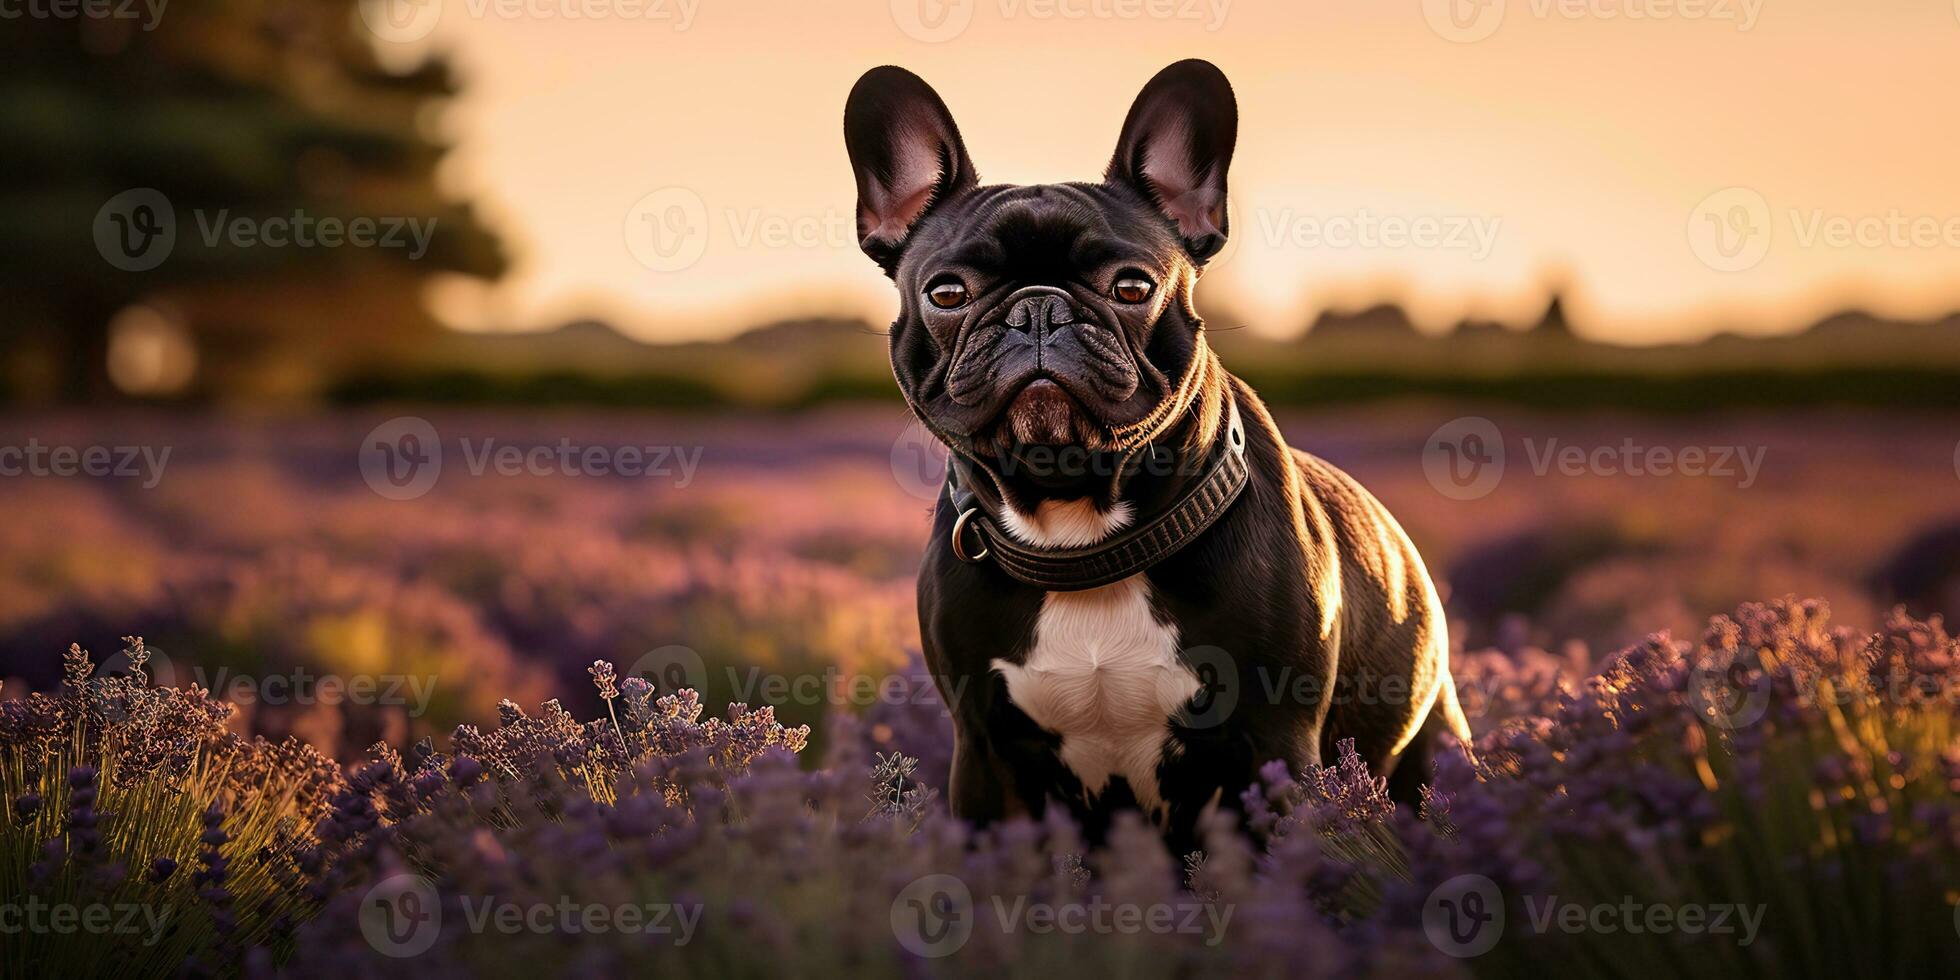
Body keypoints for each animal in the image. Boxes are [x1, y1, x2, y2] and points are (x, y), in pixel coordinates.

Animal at [842, 57, 1473, 850]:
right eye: (947, 293)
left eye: (1132, 285)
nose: (1038, 306)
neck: (1078, 532)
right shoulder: (984, 754)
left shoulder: (1275, 745)